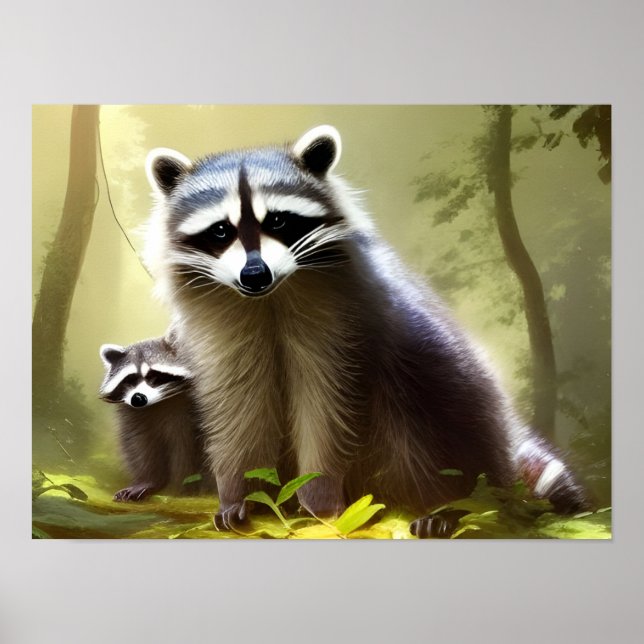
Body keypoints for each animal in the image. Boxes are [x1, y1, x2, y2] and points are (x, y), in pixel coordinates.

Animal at [99, 335, 208, 501]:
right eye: (130, 380)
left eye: (154, 377)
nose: (138, 399)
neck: (158, 404)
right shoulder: (136, 416)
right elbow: (141, 445)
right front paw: (149, 481)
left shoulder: (191, 412)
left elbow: (186, 448)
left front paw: (183, 487)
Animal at [142, 125, 589, 534]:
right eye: (221, 230)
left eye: (279, 220)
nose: (255, 274)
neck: (268, 299)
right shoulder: (222, 329)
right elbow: (240, 406)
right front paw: (242, 495)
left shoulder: (345, 322)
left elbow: (327, 406)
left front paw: (319, 497)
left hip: (455, 395)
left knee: (420, 426)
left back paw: (446, 506)